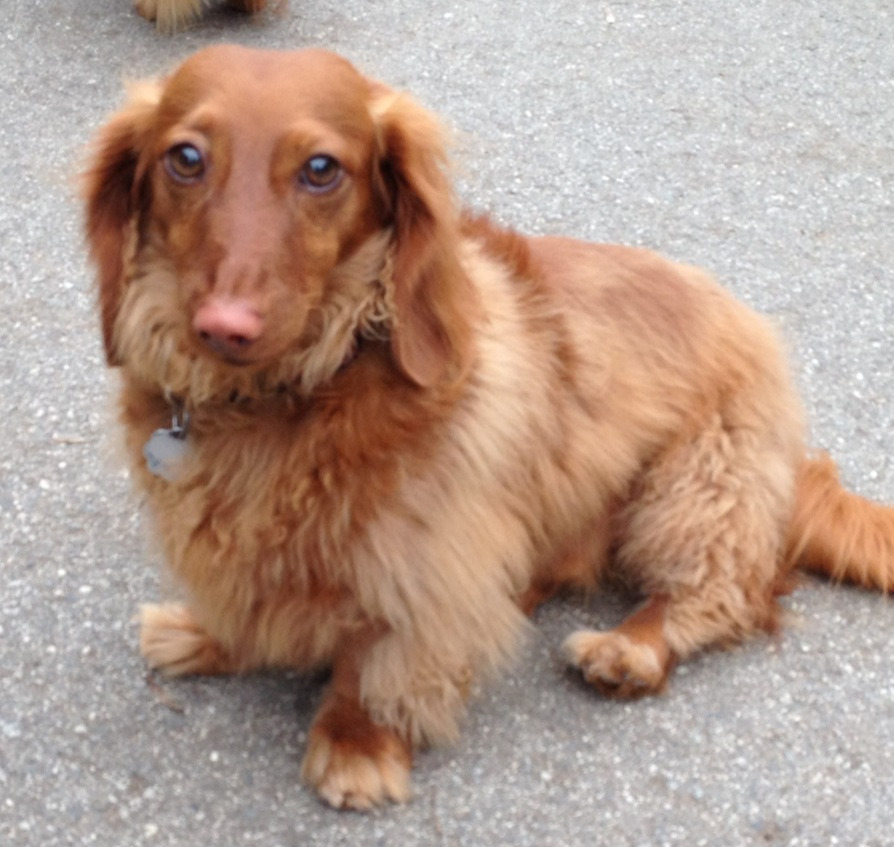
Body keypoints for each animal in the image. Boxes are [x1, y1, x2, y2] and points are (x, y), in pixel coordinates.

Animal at [82, 44, 894, 808]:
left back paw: (629, 648)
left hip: (698, 485)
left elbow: (380, 657)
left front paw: (357, 743)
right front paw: (206, 636)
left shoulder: (423, 556)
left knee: (730, 593)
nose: (225, 327)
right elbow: (243, 597)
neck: (280, 397)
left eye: (321, 170)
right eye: (186, 158)